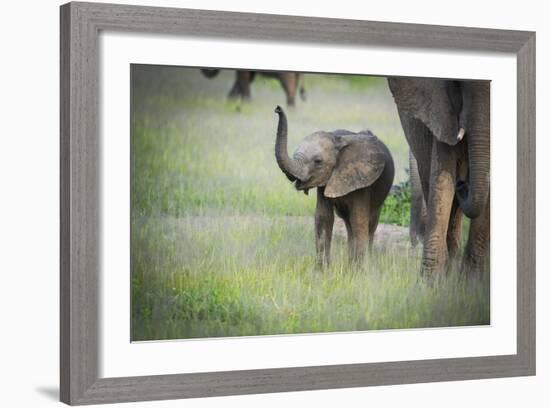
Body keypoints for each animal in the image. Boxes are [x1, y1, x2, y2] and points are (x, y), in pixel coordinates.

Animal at [274, 105, 394, 266]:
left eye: (318, 161)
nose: (277, 108)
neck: (337, 139)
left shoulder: (362, 180)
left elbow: (359, 220)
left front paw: (359, 270)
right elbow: (323, 218)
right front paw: (322, 269)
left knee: (371, 222)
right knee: (348, 224)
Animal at [388, 78, 492, 276]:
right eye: (459, 85)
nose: (462, 184)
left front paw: (472, 280)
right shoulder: (442, 114)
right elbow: (442, 179)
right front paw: (430, 282)